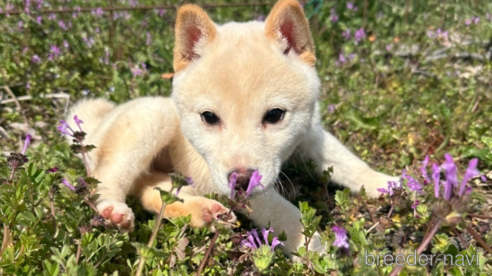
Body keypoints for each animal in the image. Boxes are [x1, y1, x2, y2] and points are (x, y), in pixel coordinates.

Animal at [65, 0, 396, 254]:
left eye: (275, 115)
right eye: (210, 117)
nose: (241, 181)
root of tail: (98, 122)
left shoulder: (310, 137)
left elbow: (350, 163)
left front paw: (386, 183)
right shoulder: (249, 191)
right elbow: (288, 214)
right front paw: (313, 247)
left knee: (150, 189)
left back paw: (201, 211)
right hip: (153, 118)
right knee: (110, 176)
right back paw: (112, 209)